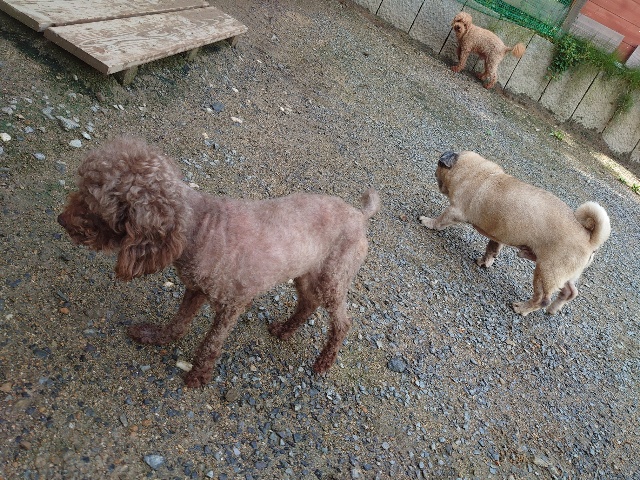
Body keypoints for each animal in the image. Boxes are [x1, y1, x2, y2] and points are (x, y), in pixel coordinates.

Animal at [58, 137, 380, 387]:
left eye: (93, 207)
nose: (61, 220)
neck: (200, 227)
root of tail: (359, 214)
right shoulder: (195, 289)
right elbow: (179, 322)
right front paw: (157, 337)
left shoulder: (232, 304)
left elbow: (211, 343)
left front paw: (198, 376)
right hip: (305, 272)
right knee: (308, 303)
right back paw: (284, 330)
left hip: (333, 279)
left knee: (342, 323)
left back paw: (324, 362)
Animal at [419, 151, 610, 316]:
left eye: (438, 168)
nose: (435, 172)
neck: (478, 172)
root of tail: (590, 239)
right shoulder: (497, 236)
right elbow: (492, 249)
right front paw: (485, 262)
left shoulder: (454, 211)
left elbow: (441, 220)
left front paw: (428, 222)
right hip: (559, 275)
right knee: (570, 292)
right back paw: (554, 309)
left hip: (545, 271)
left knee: (543, 299)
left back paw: (522, 308)